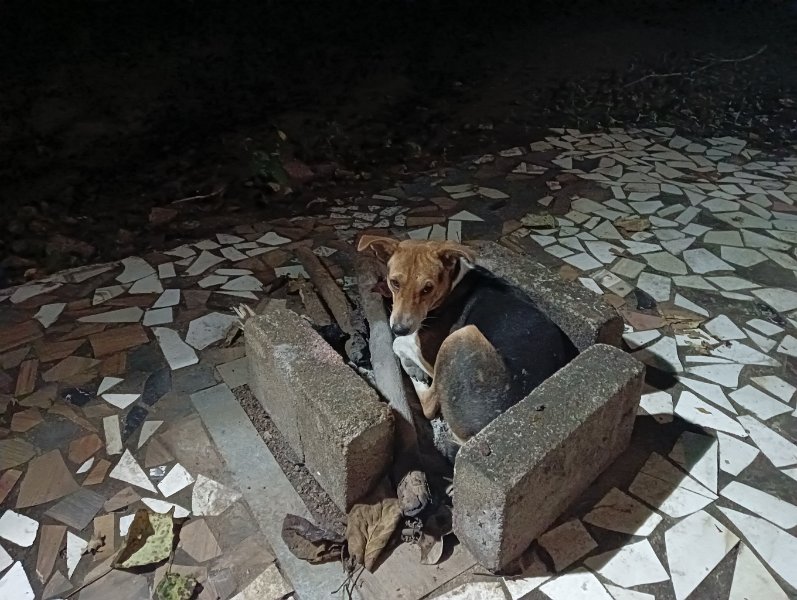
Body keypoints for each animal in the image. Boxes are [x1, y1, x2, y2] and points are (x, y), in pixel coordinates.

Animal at [358, 235, 577, 446]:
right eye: (394, 283)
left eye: (428, 288)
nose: (399, 328)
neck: (453, 282)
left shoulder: (430, 356)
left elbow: (399, 344)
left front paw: (411, 364)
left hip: (461, 336)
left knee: (429, 405)